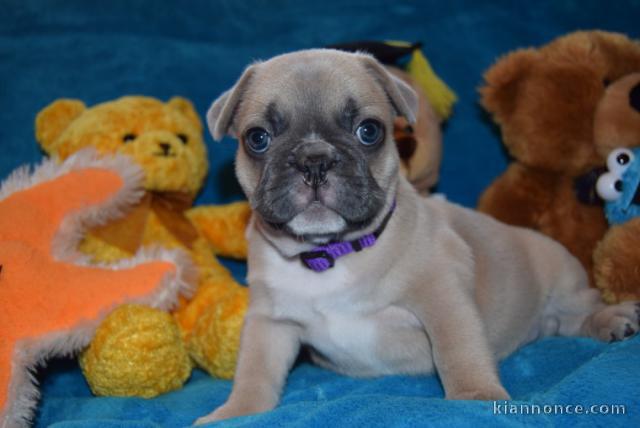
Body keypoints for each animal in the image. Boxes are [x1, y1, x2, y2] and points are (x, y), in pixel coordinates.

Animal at [196, 48, 640, 422]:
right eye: (257, 138)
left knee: (581, 309)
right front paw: (235, 413)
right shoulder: (271, 322)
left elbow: (457, 350)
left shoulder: (442, 296)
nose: (314, 159)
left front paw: (475, 399)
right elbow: (254, 371)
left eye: (369, 131)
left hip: (562, 280)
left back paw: (614, 318)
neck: (331, 255)